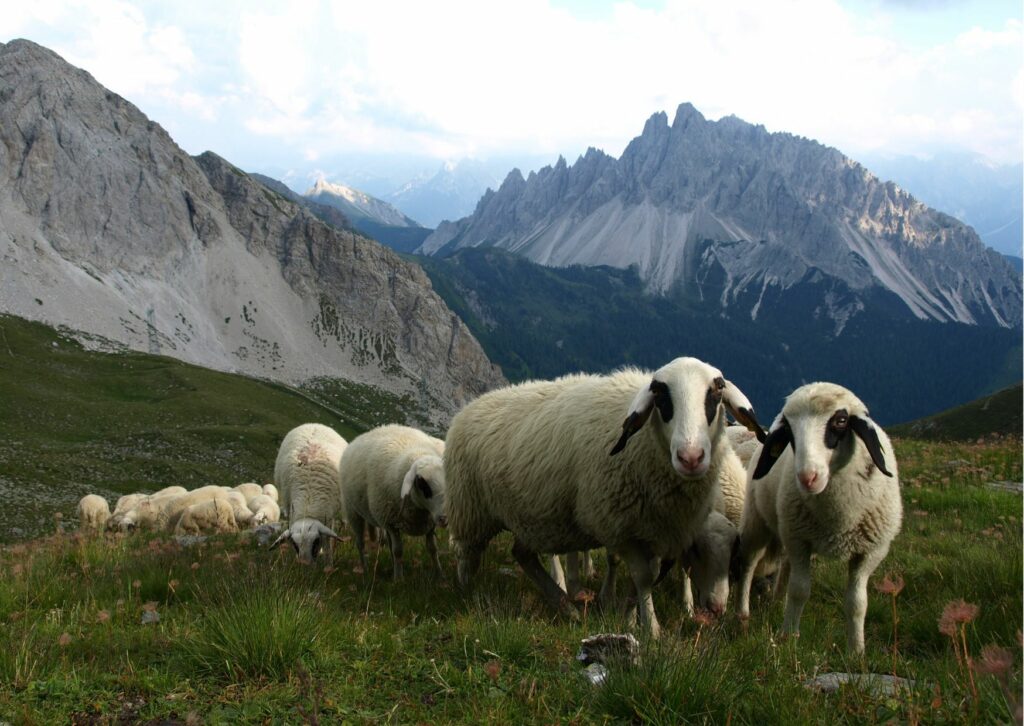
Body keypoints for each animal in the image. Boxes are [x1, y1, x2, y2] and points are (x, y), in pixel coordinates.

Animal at [268, 421, 348, 565]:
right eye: (295, 544)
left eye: (315, 542)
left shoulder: (329, 516)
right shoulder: (289, 507)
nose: (304, 565)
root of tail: (315, 424)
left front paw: (329, 563)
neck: (308, 502)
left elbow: (328, 541)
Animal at [337, 421, 446, 581]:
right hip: (353, 512)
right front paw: (399, 579)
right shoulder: (391, 523)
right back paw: (366, 569)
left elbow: (433, 548)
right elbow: (398, 551)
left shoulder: (429, 523)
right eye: (422, 483)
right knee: (360, 543)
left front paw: (439, 574)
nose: (444, 519)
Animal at [444, 356, 765, 634]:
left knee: (522, 555)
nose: (691, 457)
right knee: (466, 552)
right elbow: (643, 577)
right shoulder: (621, 525)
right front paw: (652, 629)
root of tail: (468, 407)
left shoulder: (655, 529)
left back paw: (566, 607)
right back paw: (466, 591)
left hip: (533, 516)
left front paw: (629, 617)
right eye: (661, 395)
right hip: (470, 508)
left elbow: (647, 576)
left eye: (716, 391)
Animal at [737, 382, 905, 655]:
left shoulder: (871, 552)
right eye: (789, 431)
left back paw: (777, 601)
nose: (808, 477)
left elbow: (857, 602)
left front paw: (856, 651)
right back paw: (742, 614)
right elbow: (799, 591)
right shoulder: (799, 541)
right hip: (757, 521)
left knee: (785, 565)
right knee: (749, 565)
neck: (839, 519)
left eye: (841, 420)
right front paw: (788, 637)